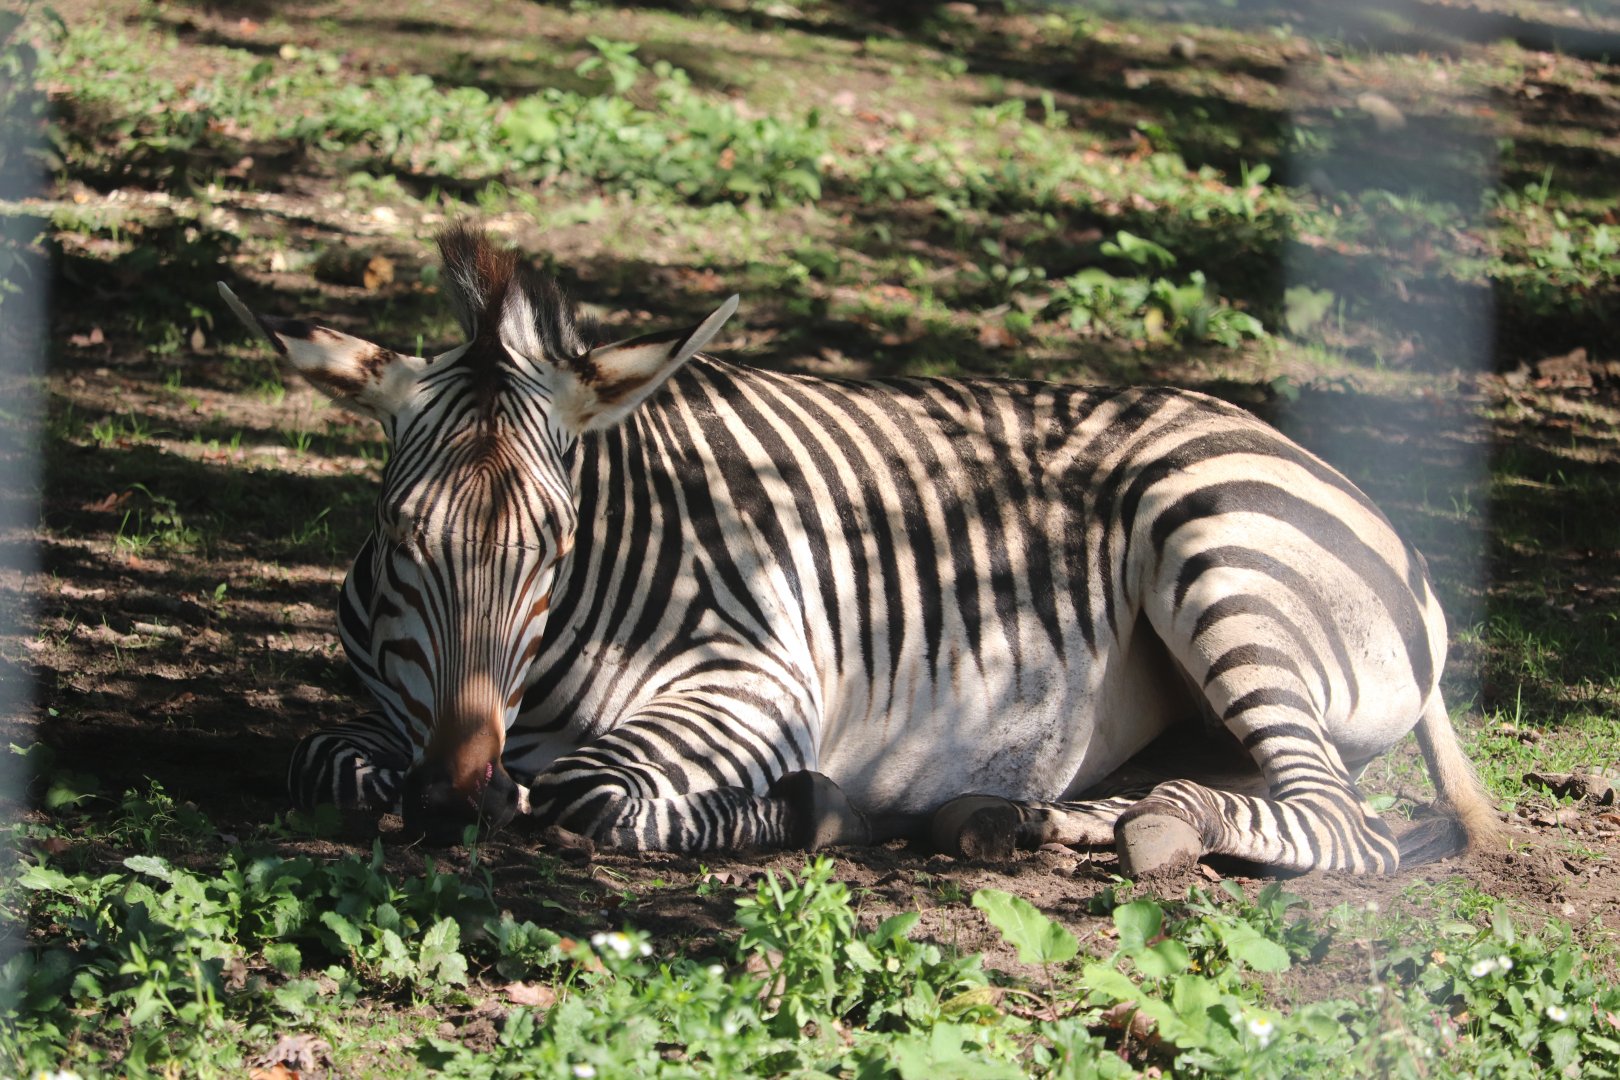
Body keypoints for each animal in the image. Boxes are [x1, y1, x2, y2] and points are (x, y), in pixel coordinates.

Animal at [217, 223, 1498, 876]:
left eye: (557, 546)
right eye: (400, 537)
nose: (456, 796)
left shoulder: (754, 681)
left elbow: (595, 792)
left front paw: (814, 809)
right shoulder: (399, 709)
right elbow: (325, 758)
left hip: (1220, 553)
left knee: (1346, 826)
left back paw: (1154, 829)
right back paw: (1037, 819)